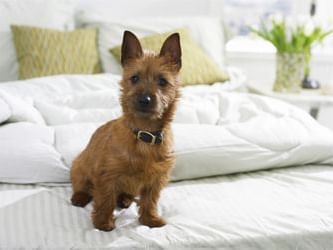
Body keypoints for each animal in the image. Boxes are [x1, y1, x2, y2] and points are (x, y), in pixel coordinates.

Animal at [68, 30, 180, 231]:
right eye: (134, 78)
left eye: (162, 81)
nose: (145, 99)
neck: (144, 134)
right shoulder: (107, 175)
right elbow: (104, 199)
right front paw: (103, 223)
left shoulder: (156, 179)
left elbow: (150, 201)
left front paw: (149, 219)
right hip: (79, 167)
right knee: (82, 186)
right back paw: (79, 197)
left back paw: (125, 200)